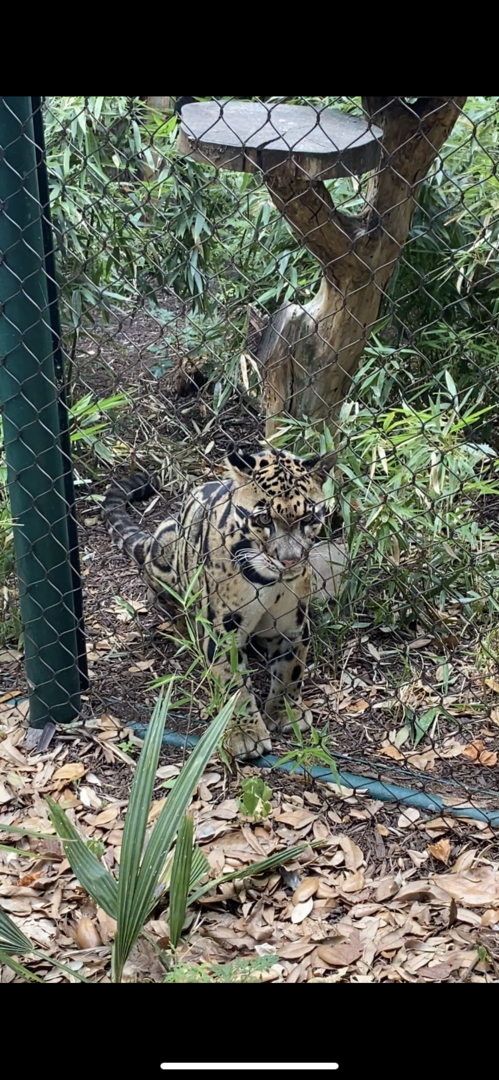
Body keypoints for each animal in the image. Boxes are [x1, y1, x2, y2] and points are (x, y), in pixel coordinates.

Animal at [102, 447, 336, 761]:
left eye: (308, 518)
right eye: (264, 520)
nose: (289, 560)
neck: (269, 582)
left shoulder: (294, 625)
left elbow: (291, 671)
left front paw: (286, 713)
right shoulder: (222, 631)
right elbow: (233, 683)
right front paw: (245, 733)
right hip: (165, 548)